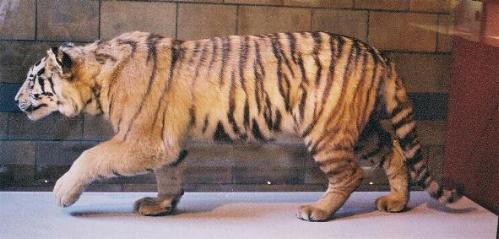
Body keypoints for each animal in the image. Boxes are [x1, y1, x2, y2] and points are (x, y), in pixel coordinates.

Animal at [13, 31, 462, 222]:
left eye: (34, 79)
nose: (15, 101)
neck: (98, 73)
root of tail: (379, 53)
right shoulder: (166, 144)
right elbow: (169, 175)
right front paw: (161, 205)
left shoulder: (142, 137)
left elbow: (91, 155)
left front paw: (62, 192)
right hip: (361, 127)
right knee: (394, 150)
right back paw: (397, 202)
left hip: (326, 130)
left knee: (350, 174)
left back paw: (317, 211)